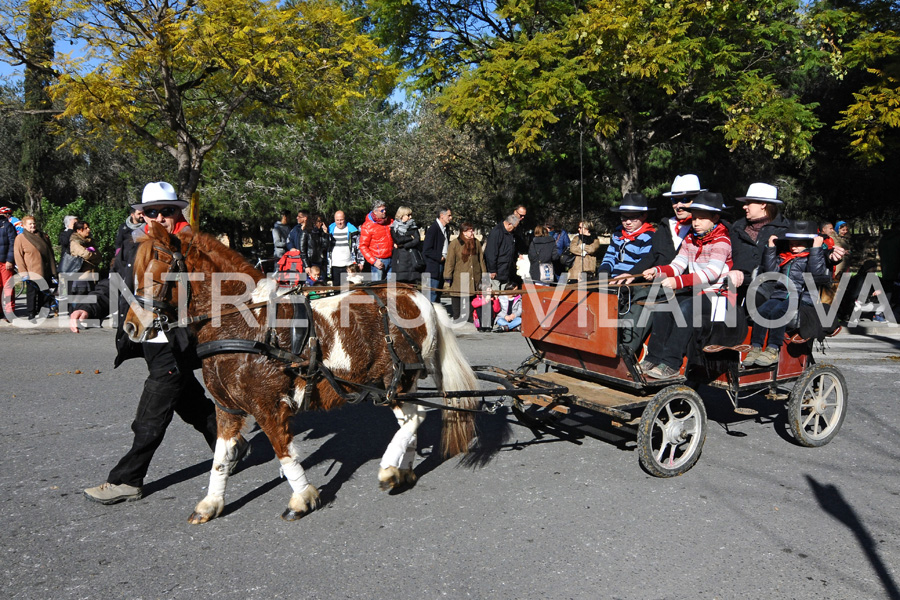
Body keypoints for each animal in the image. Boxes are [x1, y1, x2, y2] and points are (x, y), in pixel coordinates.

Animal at [125, 223, 482, 524]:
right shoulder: (227, 408)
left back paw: (387, 469)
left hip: (396, 380)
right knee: (410, 422)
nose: (131, 326)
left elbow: (283, 452)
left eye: (157, 264)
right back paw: (402, 470)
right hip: (396, 384)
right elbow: (221, 458)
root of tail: (418, 296)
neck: (241, 323)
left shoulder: (268, 406)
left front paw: (302, 498)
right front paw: (211, 503)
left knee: (415, 417)